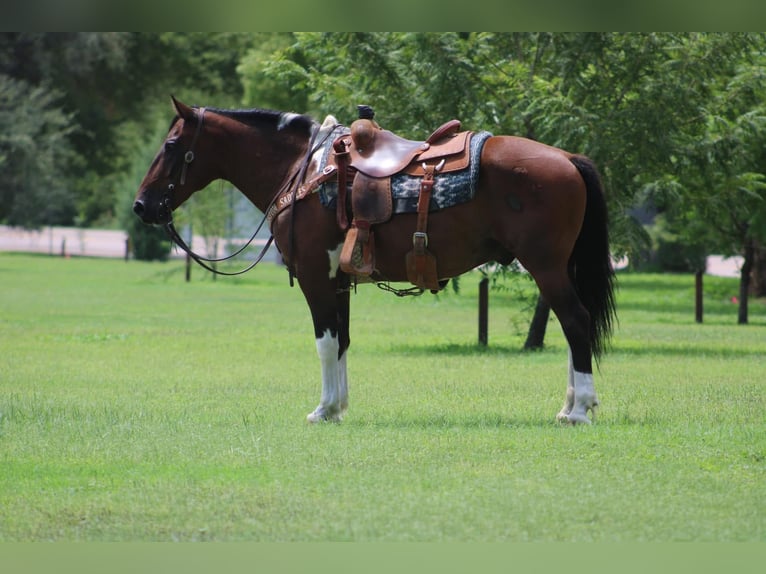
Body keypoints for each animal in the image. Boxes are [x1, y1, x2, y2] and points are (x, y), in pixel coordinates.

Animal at [134, 97, 616, 425]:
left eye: (172, 144)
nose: (141, 206)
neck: (304, 169)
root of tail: (568, 158)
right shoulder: (338, 279)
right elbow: (342, 341)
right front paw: (338, 407)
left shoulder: (315, 277)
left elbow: (325, 341)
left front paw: (323, 409)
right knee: (571, 326)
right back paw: (569, 405)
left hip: (546, 267)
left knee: (576, 321)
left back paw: (580, 410)